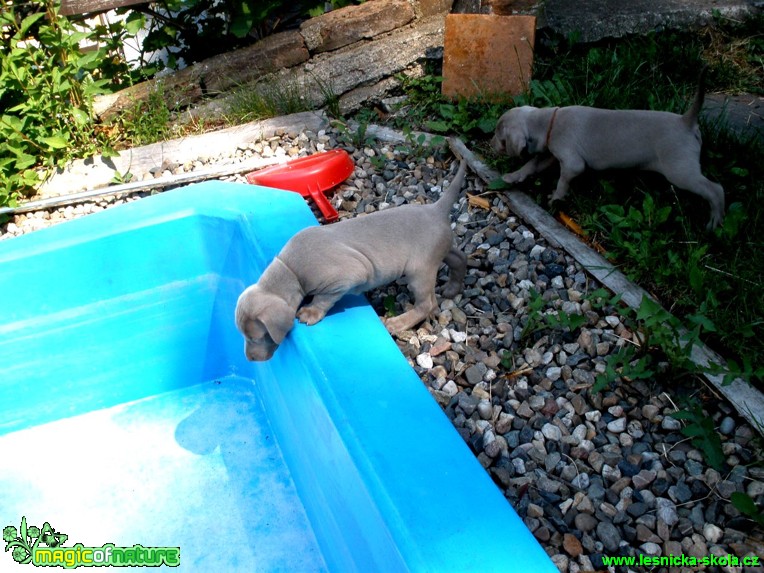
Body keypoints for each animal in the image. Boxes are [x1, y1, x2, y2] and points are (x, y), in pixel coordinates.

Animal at [236, 159, 468, 360]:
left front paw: (310, 312)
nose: (249, 359)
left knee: (427, 304)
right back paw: (453, 288)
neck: (290, 269)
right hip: (439, 249)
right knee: (459, 258)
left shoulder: (345, 277)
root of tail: (435, 209)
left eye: (257, 337)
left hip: (419, 269)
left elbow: (323, 298)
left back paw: (397, 323)